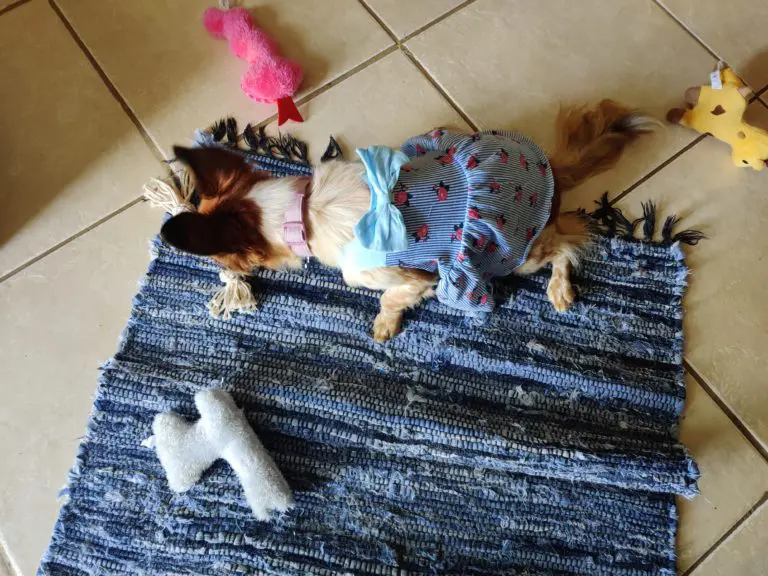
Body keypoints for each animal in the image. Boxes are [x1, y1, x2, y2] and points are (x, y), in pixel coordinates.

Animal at [160, 100, 656, 340]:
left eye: (225, 261)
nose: (224, 276)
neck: (301, 210)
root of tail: (549, 164)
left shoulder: (410, 277)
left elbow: (392, 298)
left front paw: (385, 325)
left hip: (517, 252)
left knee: (569, 242)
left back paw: (560, 288)